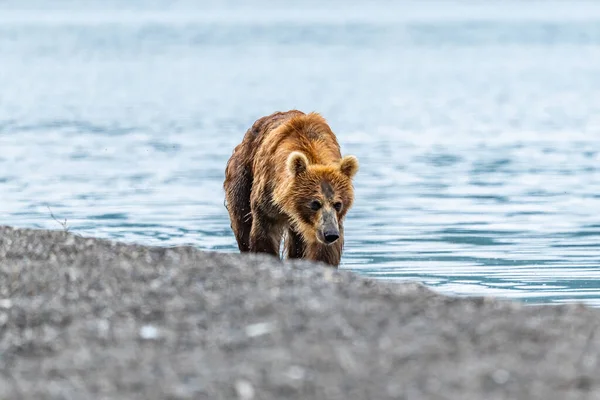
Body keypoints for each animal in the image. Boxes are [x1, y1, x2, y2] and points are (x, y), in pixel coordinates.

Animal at [224, 109, 356, 268]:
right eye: (314, 203)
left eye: (338, 204)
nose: (330, 234)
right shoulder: (267, 199)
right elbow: (264, 236)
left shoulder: (329, 221)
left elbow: (325, 251)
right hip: (242, 175)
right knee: (241, 221)